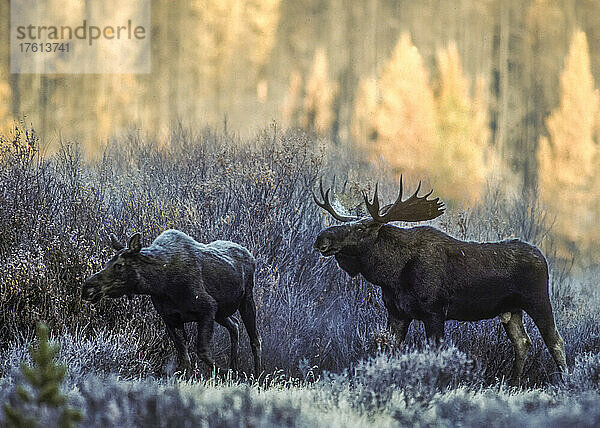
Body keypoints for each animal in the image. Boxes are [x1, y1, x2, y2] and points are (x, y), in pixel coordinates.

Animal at [83, 229, 262, 376]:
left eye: (119, 265)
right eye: (107, 262)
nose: (87, 287)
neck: (161, 284)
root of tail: (251, 256)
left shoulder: (208, 308)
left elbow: (202, 351)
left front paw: (226, 373)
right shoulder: (170, 319)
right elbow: (184, 358)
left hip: (246, 299)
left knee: (255, 338)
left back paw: (256, 375)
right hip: (222, 312)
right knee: (235, 325)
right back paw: (235, 366)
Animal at [314, 177, 568, 384]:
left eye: (360, 228)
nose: (321, 238)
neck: (392, 276)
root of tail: (542, 258)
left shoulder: (434, 312)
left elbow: (435, 355)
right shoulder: (397, 312)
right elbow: (388, 349)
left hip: (538, 301)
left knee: (556, 341)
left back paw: (565, 383)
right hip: (511, 311)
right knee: (523, 342)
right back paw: (514, 384)